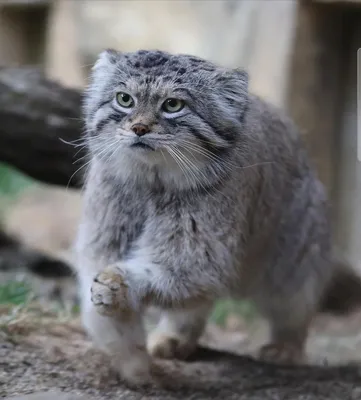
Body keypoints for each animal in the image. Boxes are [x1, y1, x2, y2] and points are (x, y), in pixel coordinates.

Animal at [74, 48, 360, 386]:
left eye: (173, 105)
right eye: (124, 99)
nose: (139, 128)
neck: (152, 183)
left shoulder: (199, 252)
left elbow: (166, 274)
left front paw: (120, 284)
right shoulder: (103, 237)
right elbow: (113, 316)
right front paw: (131, 361)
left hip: (293, 256)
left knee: (293, 302)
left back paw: (286, 347)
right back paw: (175, 337)